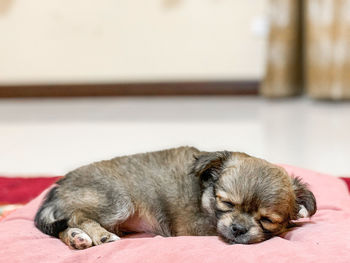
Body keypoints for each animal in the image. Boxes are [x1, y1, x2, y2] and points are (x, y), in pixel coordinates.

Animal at [34, 147, 316, 251]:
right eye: (226, 203)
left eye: (267, 220)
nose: (238, 229)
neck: (204, 195)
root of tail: (58, 187)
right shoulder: (195, 228)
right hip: (117, 201)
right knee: (78, 215)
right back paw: (101, 236)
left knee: (64, 227)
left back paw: (77, 238)